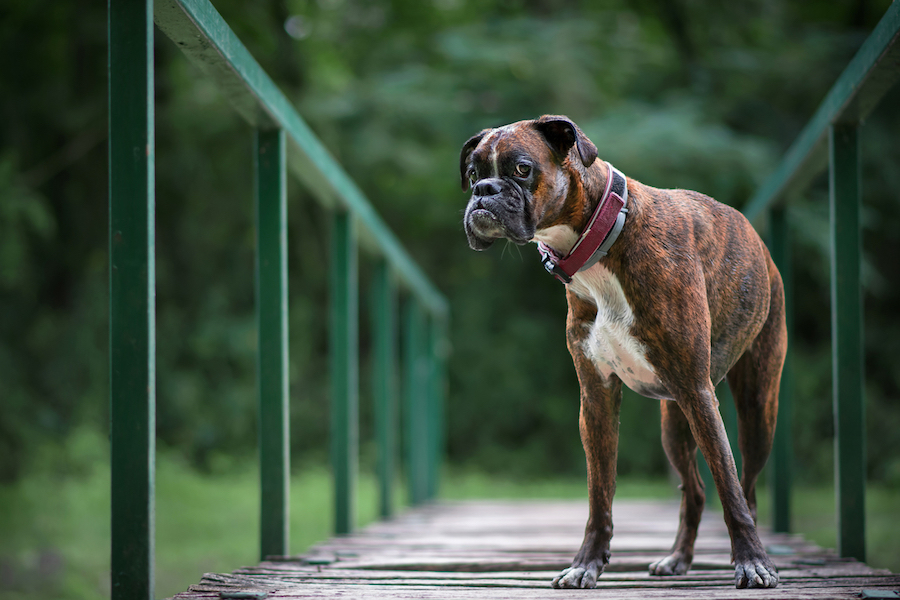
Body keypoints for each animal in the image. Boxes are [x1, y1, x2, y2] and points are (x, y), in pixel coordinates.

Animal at [460, 116, 784, 592]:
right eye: (471, 174)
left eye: (521, 169)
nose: (484, 190)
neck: (599, 242)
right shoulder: (596, 399)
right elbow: (600, 493)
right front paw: (587, 563)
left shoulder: (697, 390)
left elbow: (729, 484)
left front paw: (751, 562)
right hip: (675, 424)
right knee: (694, 491)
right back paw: (678, 558)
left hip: (754, 411)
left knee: (747, 485)